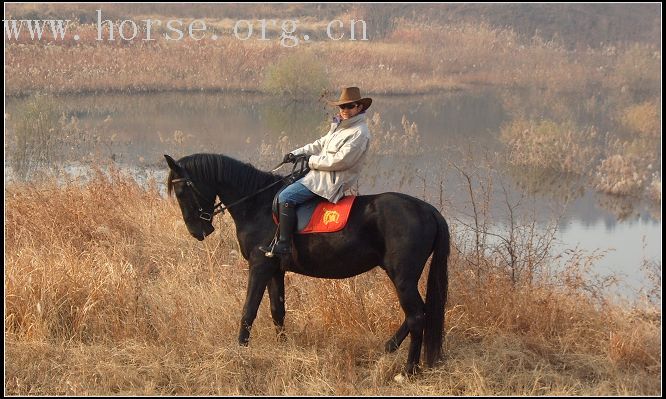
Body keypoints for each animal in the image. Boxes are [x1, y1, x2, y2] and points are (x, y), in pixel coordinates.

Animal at [163, 154, 448, 376]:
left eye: (181, 191)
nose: (197, 232)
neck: (257, 204)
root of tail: (428, 211)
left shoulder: (259, 266)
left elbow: (248, 311)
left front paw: (240, 351)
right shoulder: (275, 270)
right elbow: (277, 310)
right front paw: (283, 347)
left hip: (402, 277)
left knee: (416, 316)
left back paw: (408, 370)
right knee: (419, 314)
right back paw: (388, 347)